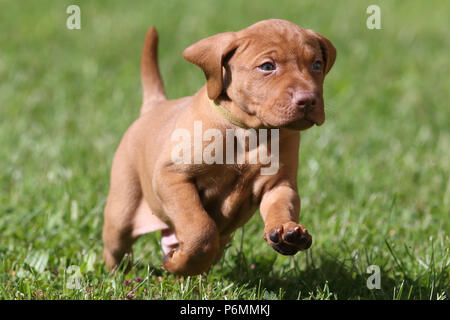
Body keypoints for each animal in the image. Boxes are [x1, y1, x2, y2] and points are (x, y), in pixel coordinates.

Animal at [102, 19, 334, 276]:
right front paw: (177, 263)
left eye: (316, 64)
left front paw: (287, 231)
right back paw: (120, 275)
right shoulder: (172, 176)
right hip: (122, 212)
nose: (308, 100)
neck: (250, 132)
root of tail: (156, 105)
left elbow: (281, 207)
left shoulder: (279, 184)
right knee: (115, 248)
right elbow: (199, 229)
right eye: (267, 66)